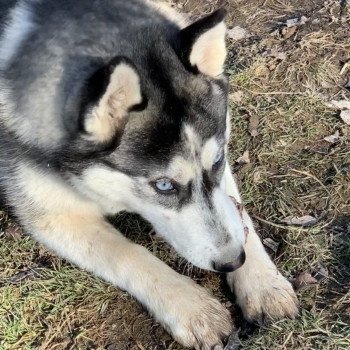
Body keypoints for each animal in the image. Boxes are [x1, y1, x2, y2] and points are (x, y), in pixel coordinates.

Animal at [0, 1, 298, 348]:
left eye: (218, 161)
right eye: (164, 185)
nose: (232, 261)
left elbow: (237, 214)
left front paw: (263, 283)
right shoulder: (54, 216)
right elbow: (128, 253)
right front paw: (192, 308)